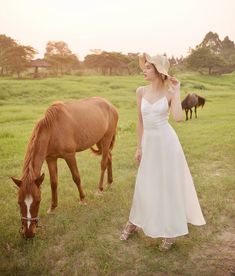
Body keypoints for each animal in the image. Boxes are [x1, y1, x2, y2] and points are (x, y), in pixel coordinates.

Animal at [11, 96, 118, 237]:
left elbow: (76, 177)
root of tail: (110, 105)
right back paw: (110, 183)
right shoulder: (51, 159)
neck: (53, 129)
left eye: (38, 200)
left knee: (103, 163)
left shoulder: (69, 156)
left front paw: (83, 200)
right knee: (109, 158)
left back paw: (100, 189)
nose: (28, 233)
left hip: (106, 139)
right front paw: (52, 207)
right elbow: (53, 183)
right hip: (99, 140)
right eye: (19, 202)